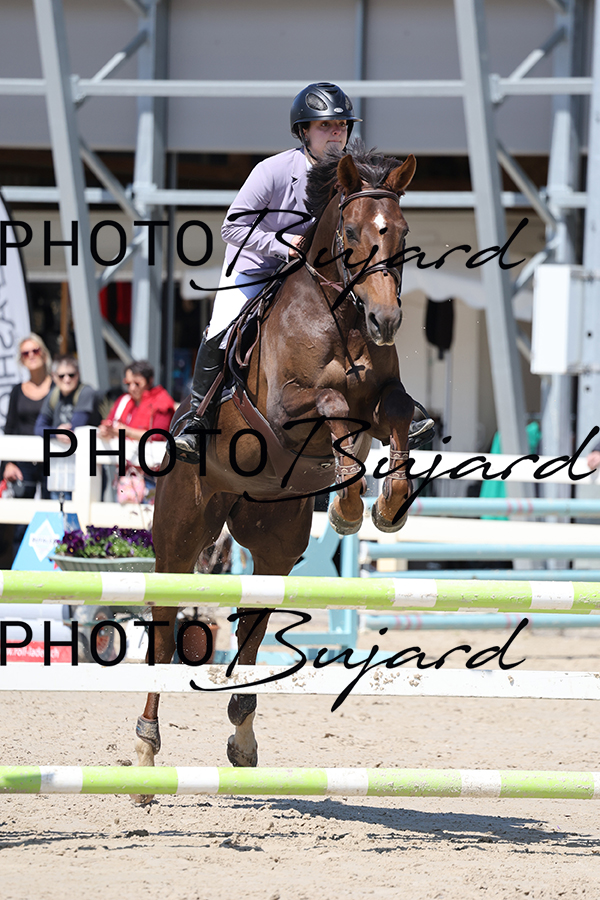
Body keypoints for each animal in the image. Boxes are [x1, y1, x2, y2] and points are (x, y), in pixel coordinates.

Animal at [132, 143, 417, 803]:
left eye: (403, 233)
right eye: (350, 232)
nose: (386, 320)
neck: (342, 317)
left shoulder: (386, 397)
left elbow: (395, 423)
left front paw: (387, 505)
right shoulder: (286, 410)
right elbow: (335, 408)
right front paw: (348, 507)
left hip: (275, 545)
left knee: (255, 622)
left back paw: (242, 737)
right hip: (181, 531)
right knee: (163, 622)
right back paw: (145, 752)